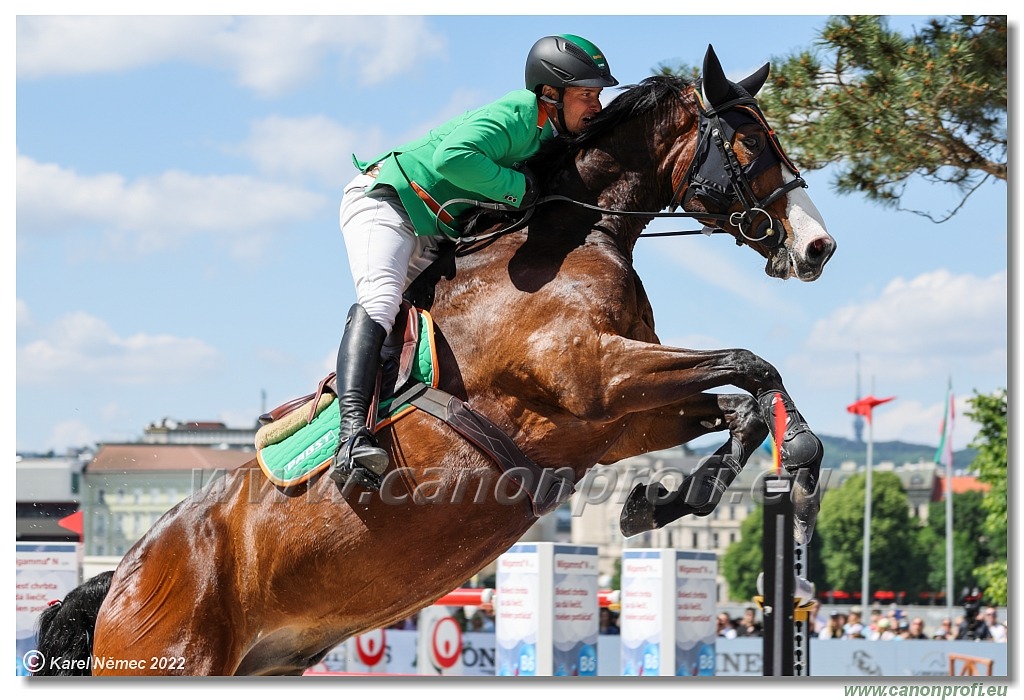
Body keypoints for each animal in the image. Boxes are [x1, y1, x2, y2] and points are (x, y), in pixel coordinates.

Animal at [36, 45, 835, 679]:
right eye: (749, 144)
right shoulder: (594, 377)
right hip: (175, 656)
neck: (575, 235)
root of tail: (117, 583)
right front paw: (797, 462)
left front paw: (665, 500)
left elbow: (738, 402)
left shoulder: (613, 421)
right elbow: (752, 364)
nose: (819, 247)